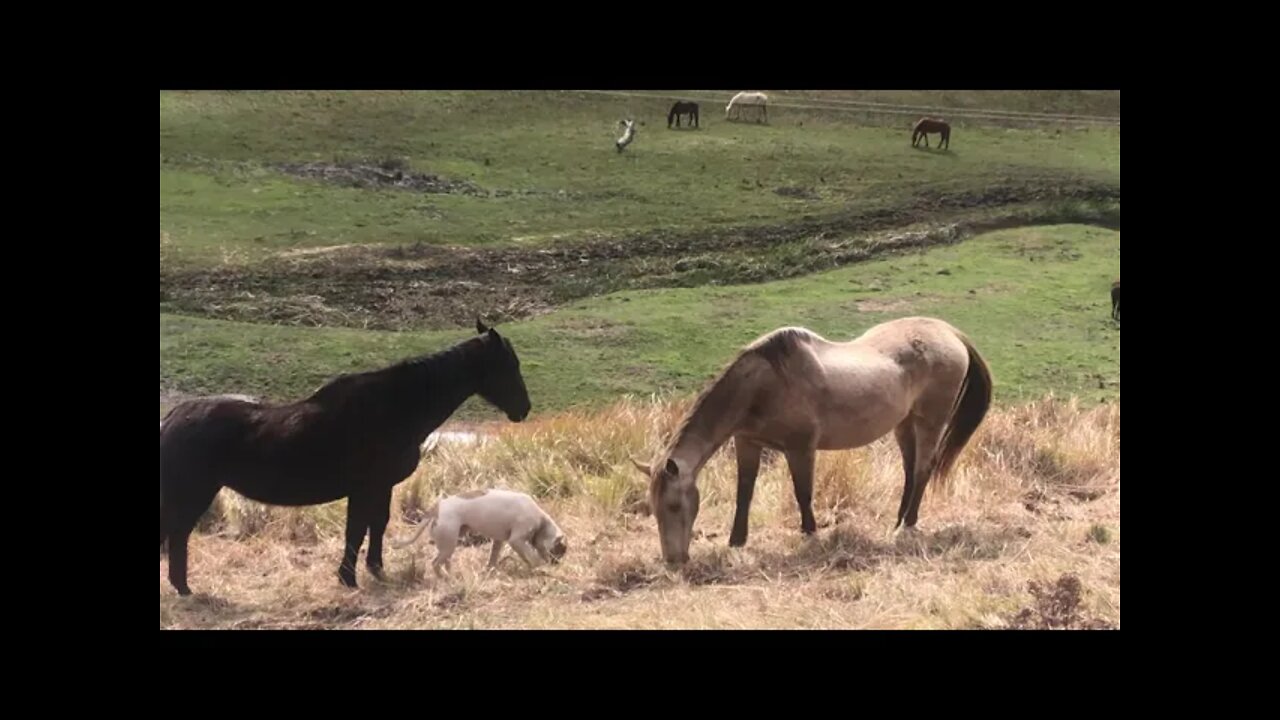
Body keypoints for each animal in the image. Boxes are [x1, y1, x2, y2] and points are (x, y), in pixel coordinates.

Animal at [158, 319, 529, 594]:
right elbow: (357, 530)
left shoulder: (381, 486)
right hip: (193, 493)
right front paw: (348, 578)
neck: (397, 407)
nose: (523, 409)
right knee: (178, 534)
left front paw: (375, 569)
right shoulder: (364, 488)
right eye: (510, 365)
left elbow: (377, 525)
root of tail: (171, 417)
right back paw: (184, 588)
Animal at [391, 484, 568, 573]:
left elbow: (494, 556)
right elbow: (532, 556)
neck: (541, 520)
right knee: (435, 563)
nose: (557, 564)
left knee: (445, 561)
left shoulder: (499, 541)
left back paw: (452, 576)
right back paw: (444, 580)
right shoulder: (516, 541)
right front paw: (540, 567)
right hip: (448, 543)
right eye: (558, 551)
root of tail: (437, 507)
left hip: (449, 543)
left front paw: (491, 569)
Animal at [629, 316, 988, 563]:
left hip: (930, 422)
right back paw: (898, 520)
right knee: (911, 472)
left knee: (923, 469)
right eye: (653, 508)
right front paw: (736, 540)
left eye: (674, 505)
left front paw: (810, 533)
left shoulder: (800, 448)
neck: (763, 386)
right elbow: (744, 492)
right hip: (905, 423)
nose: (673, 560)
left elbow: (803, 492)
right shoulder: (747, 443)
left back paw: (908, 524)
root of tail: (950, 333)